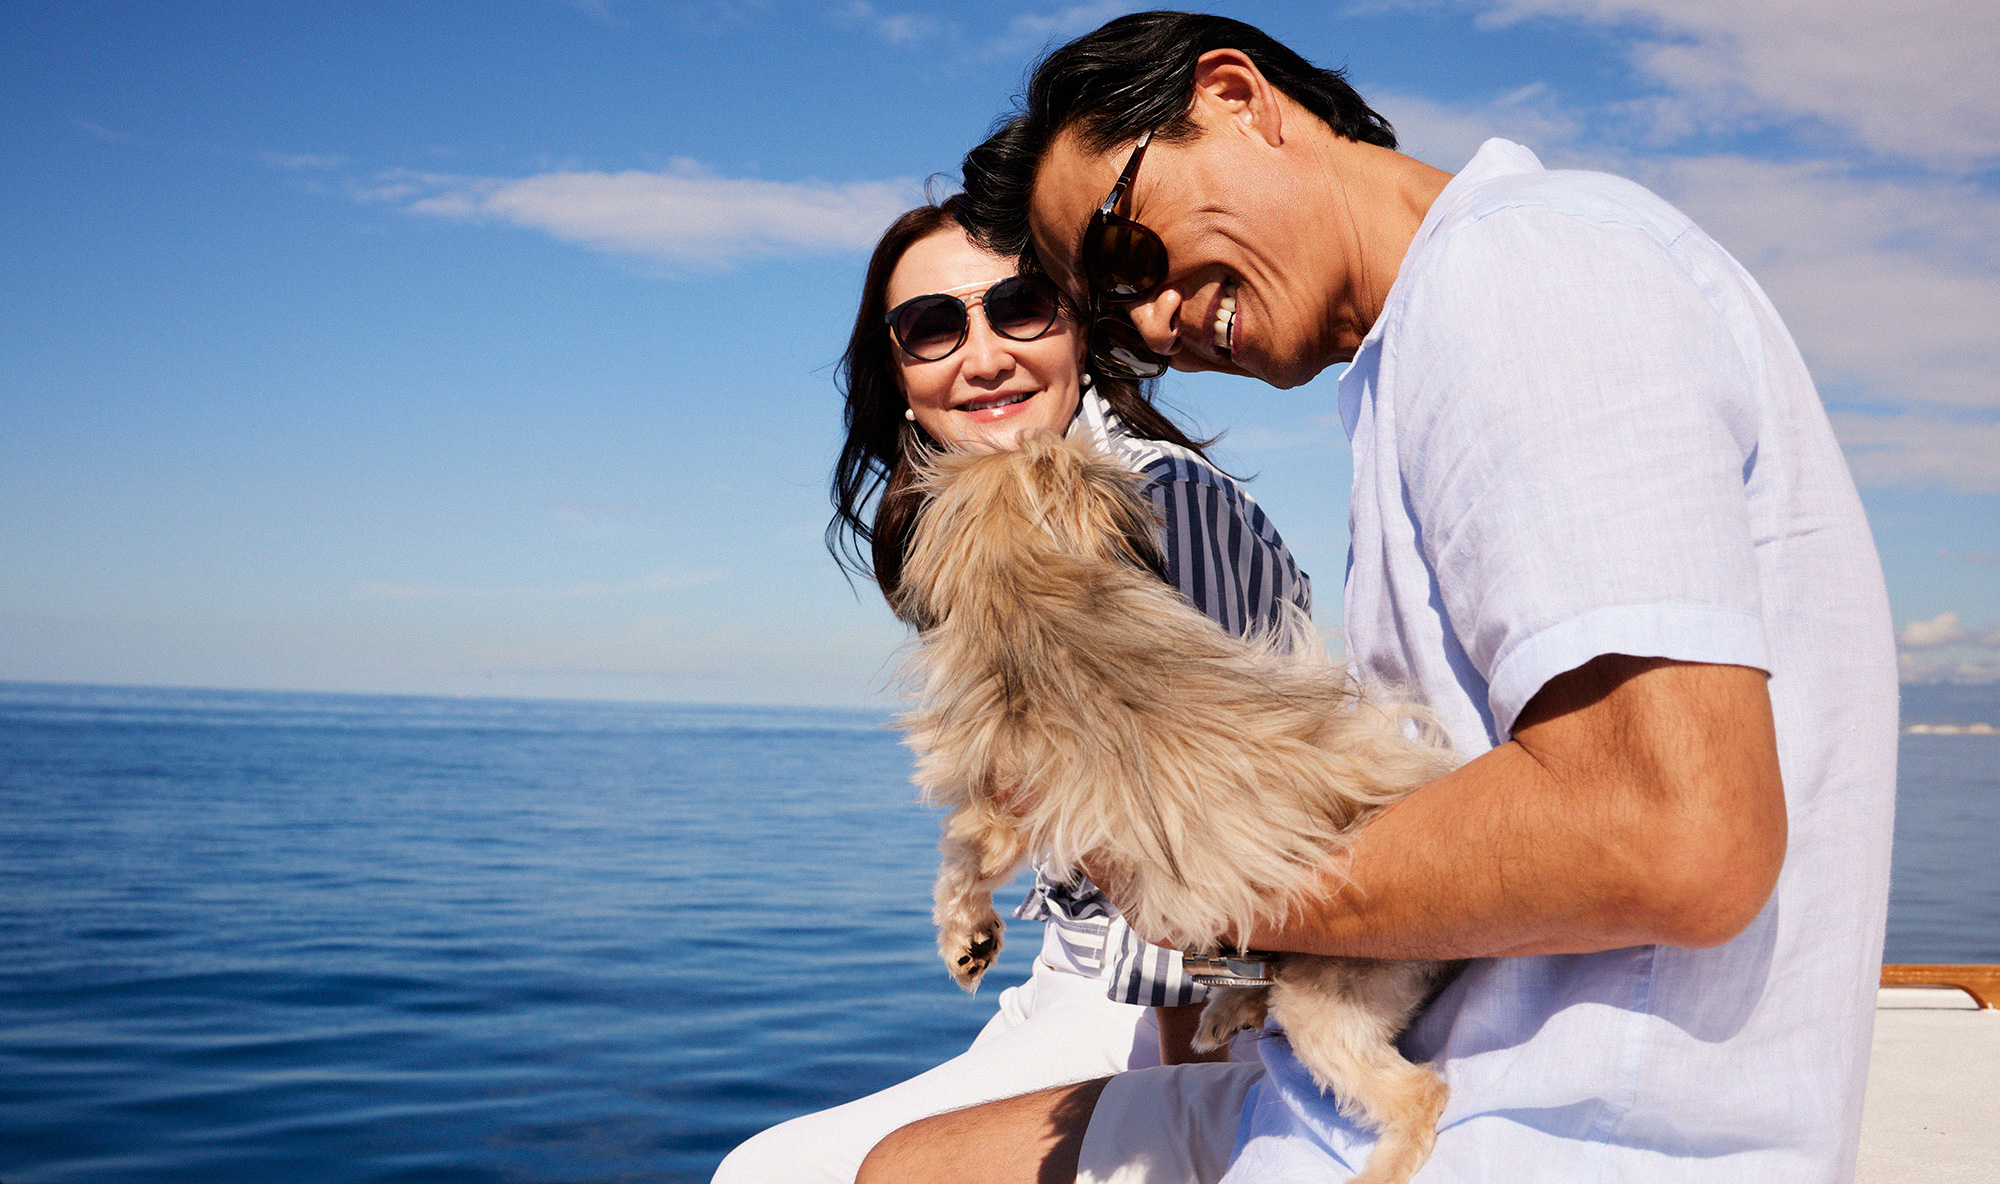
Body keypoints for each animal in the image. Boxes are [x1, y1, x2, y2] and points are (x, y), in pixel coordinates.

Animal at [900, 434, 1464, 1184]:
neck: (1030, 578)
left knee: (1422, 1093)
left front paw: (965, 939)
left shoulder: (1004, 800)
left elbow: (964, 861)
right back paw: (1228, 1008)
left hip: (1330, 1003)